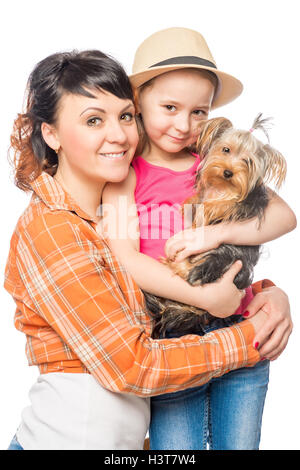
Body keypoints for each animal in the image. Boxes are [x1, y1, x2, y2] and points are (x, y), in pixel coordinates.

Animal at [146, 115, 288, 340]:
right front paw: (191, 203)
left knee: (189, 274)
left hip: (218, 257)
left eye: (247, 161)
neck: (222, 187)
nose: (228, 172)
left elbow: (223, 205)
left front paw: (209, 208)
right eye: (226, 150)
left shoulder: (244, 205)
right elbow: (200, 199)